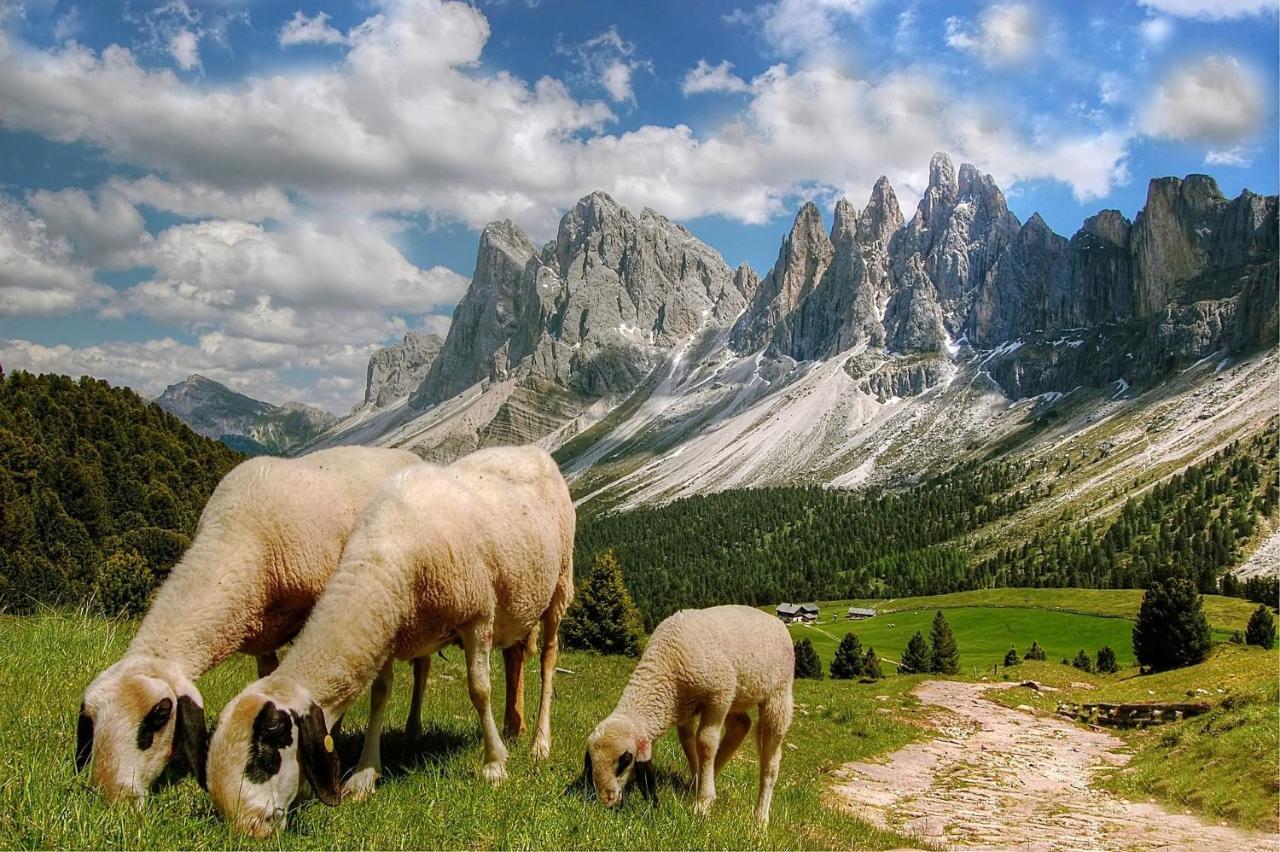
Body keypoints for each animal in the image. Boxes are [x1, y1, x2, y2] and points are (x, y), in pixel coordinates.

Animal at [74, 445, 419, 803]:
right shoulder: (263, 632)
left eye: (159, 715)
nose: (112, 796)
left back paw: (410, 732)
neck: (236, 534)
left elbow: (372, 688)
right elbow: (272, 677)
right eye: (91, 719)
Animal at [204, 445, 576, 834]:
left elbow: (479, 690)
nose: (249, 829)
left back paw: (539, 743)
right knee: (515, 655)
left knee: (548, 661)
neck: (384, 554)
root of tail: (528, 449)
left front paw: (494, 764)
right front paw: (365, 775)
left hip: (560, 584)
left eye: (267, 754)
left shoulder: (477, 615)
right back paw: (513, 729)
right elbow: (379, 695)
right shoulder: (389, 628)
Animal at [586, 603, 788, 823]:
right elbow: (687, 740)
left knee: (771, 760)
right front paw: (697, 783)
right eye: (591, 763)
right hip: (738, 696)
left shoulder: (719, 696)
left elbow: (705, 743)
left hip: (778, 694)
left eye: (624, 762)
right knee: (741, 725)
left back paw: (760, 817)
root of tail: (774, 619)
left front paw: (702, 802)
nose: (606, 802)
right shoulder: (684, 707)